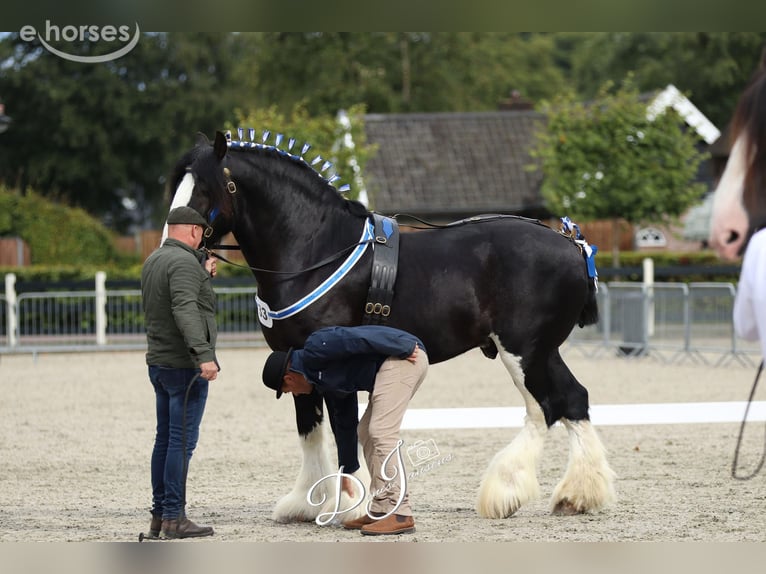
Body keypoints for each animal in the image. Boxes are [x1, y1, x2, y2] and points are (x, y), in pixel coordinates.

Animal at [165, 128, 617, 522]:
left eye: (205, 187)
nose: (176, 241)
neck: (317, 250)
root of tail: (574, 245)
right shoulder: (294, 360)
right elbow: (309, 430)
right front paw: (305, 503)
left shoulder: (332, 366)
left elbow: (343, 432)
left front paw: (352, 506)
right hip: (544, 351)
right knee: (574, 399)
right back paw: (578, 496)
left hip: (523, 350)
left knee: (544, 408)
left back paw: (505, 491)